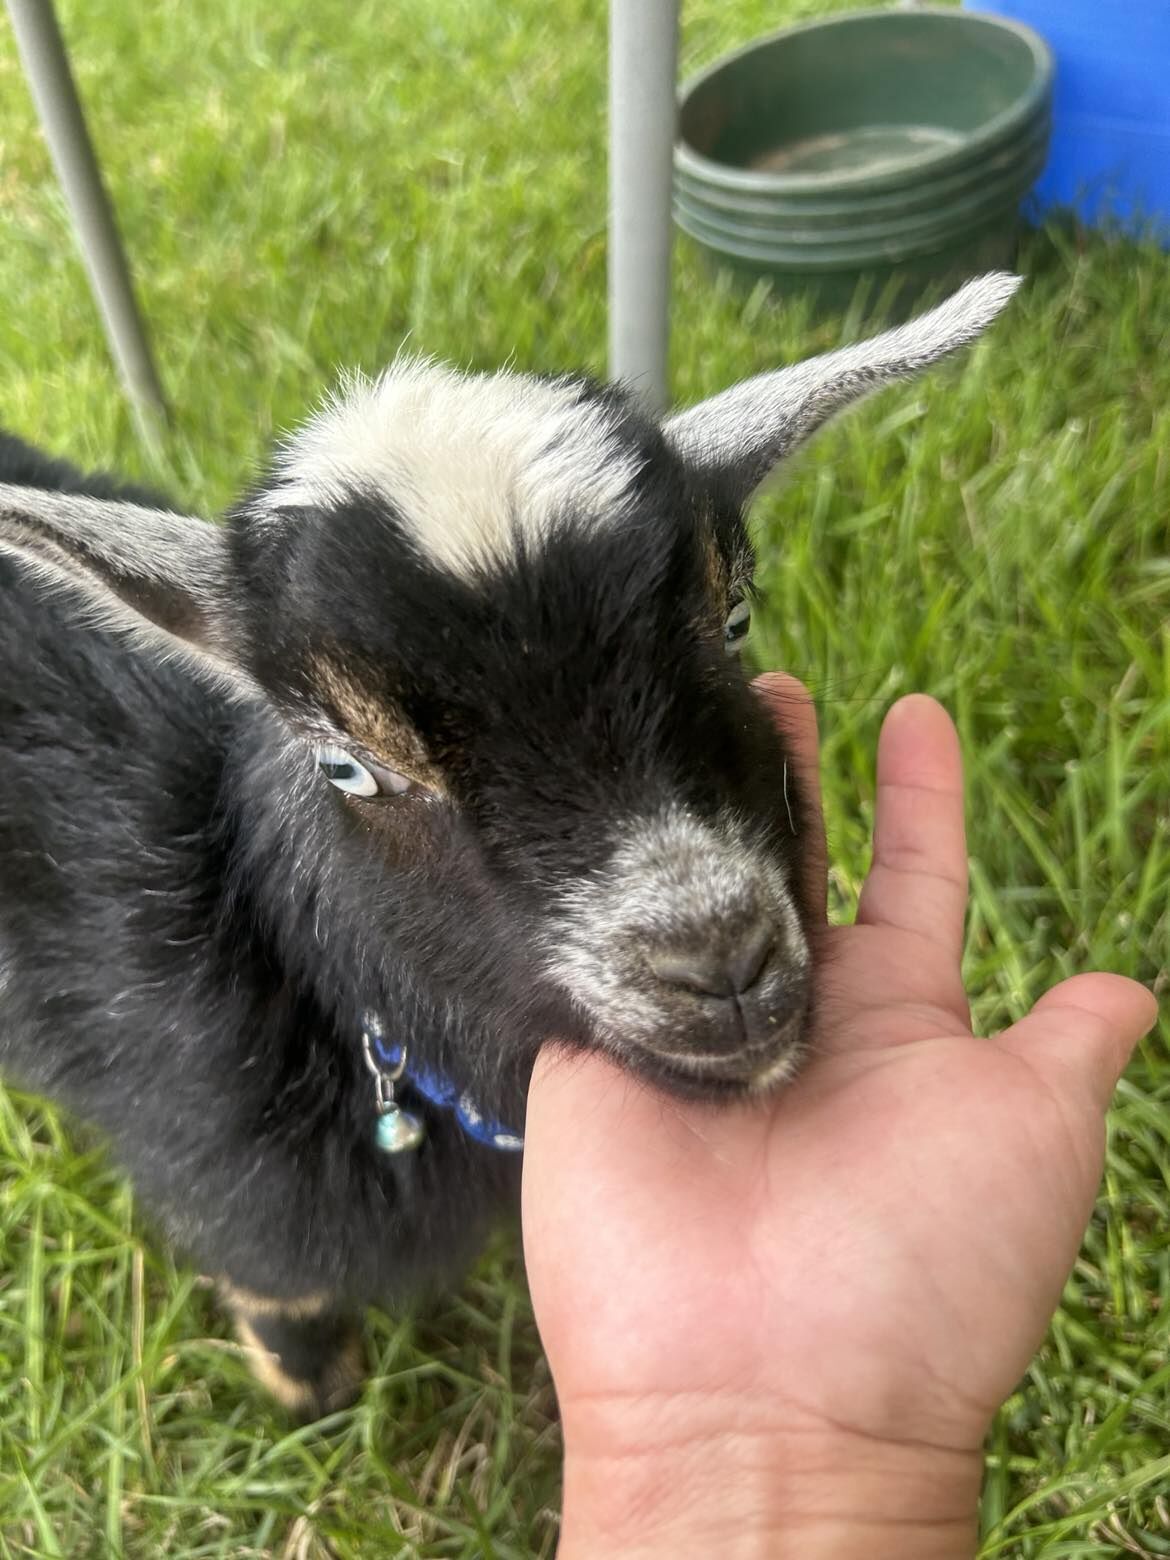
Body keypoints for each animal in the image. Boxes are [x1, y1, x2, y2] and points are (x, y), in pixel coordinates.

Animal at [0, 275, 1018, 1417]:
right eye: (346, 766)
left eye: (735, 621)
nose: (722, 962)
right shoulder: (238, 1196)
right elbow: (284, 1296)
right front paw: (312, 1393)